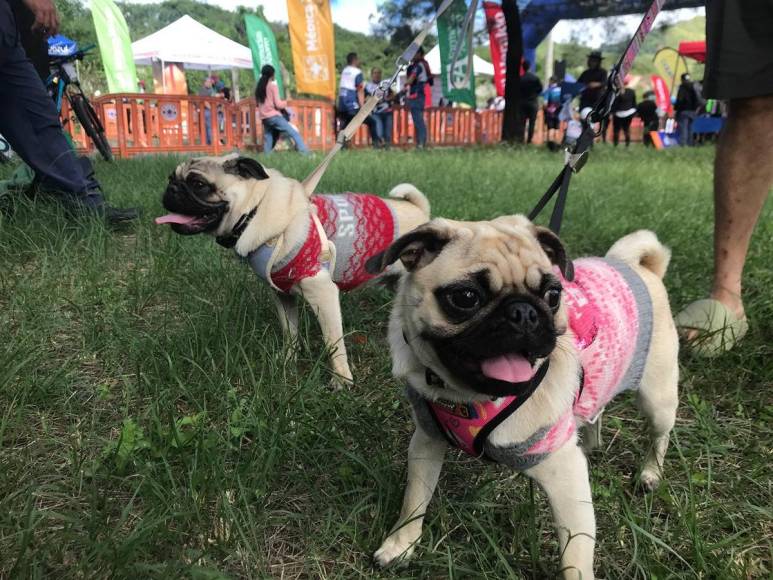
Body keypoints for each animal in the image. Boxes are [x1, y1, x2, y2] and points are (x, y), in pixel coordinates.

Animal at [155, 156, 428, 388]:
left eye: (198, 184)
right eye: (170, 177)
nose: (171, 189)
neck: (255, 211)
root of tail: (420, 212)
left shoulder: (322, 293)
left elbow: (333, 342)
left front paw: (341, 380)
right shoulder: (282, 294)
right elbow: (290, 332)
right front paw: (288, 360)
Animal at [366, 215, 676, 576]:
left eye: (553, 294)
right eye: (466, 297)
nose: (524, 312)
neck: (470, 398)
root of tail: (638, 267)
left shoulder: (566, 477)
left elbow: (576, 557)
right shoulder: (427, 442)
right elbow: (415, 500)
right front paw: (400, 545)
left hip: (657, 398)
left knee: (659, 435)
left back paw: (650, 474)